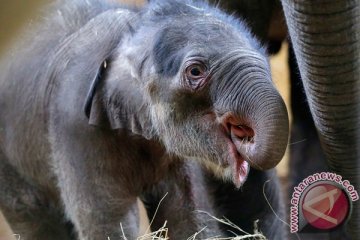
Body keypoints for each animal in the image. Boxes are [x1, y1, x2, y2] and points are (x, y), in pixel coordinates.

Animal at [0, 0, 288, 240]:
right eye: (195, 71)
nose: (245, 134)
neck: (129, 33)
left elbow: (187, 215)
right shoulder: (75, 125)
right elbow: (106, 221)